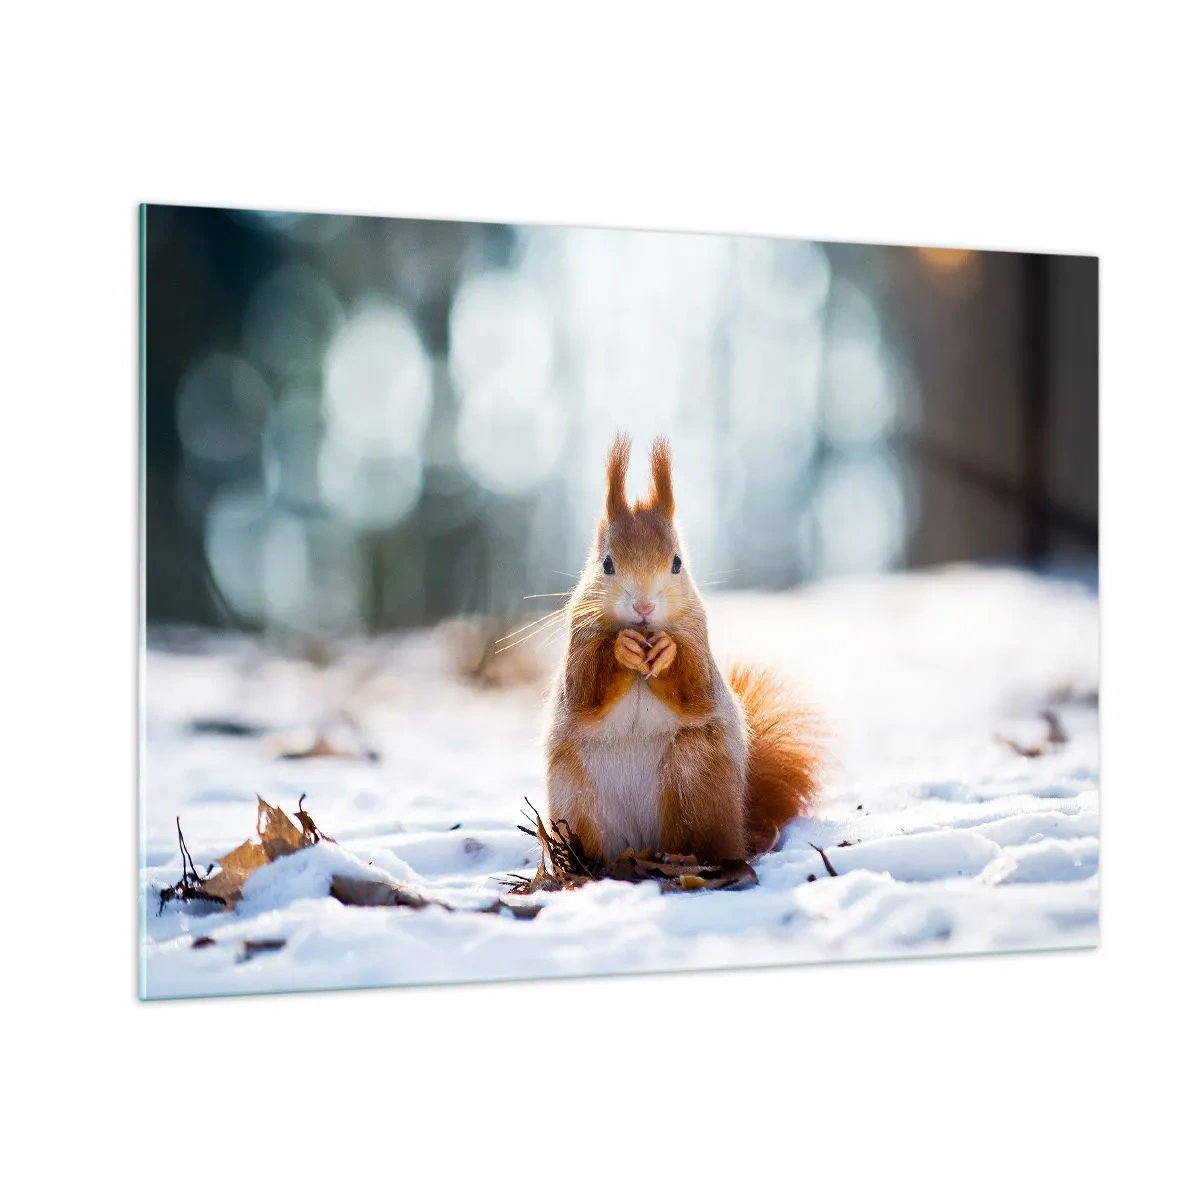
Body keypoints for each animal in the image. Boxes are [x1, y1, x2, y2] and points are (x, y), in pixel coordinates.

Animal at [545, 433, 822, 864]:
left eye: (677, 563)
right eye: (606, 564)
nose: (643, 607)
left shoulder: (698, 640)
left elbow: (696, 688)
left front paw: (666, 652)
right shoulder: (579, 640)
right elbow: (584, 689)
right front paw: (621, 648)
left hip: (693, 776)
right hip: (575, 792)